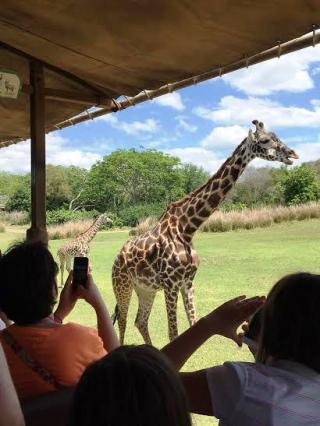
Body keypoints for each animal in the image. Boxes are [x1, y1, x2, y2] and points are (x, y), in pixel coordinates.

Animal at [111, 119, 298, 342]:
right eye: (265, 140)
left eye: (276, 136)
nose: (293, 153)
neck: (187, 228)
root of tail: (117, 258)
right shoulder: (171, 284)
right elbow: (173, 333)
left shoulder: (188, 282)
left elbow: (194, 323)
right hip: (122, 284)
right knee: (122, 321)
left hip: (145, 288)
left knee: (140, 321)